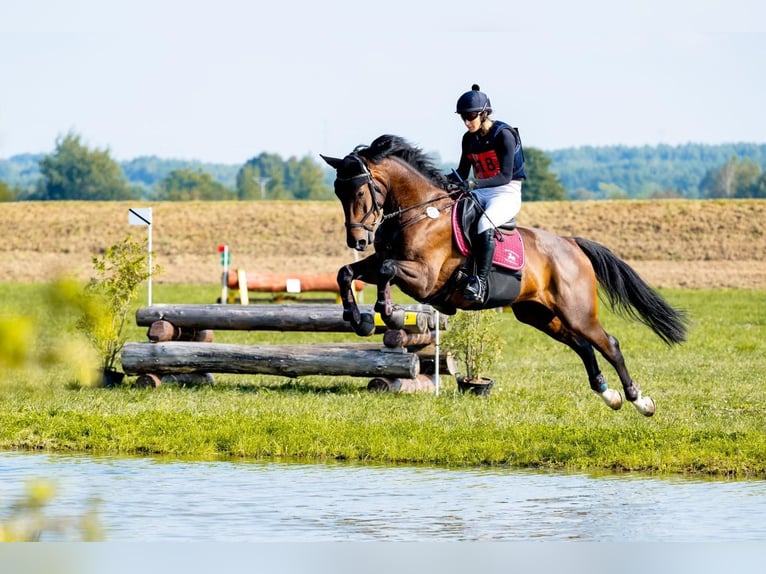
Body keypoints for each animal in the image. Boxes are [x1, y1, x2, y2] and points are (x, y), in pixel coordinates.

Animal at [320, 134, 688, 418]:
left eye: (360, 193)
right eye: (338, 193)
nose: (358, 241)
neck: (420, 213)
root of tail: (572, 245)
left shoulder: (424, 278)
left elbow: (386, 271)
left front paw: (385, 310)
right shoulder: (384, 260)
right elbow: (347, 272)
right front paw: (358, 320)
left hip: (577, 311)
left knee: (608, 344)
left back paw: (640, 401)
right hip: (539, 314)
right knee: (582, 345)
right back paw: (608, 395)